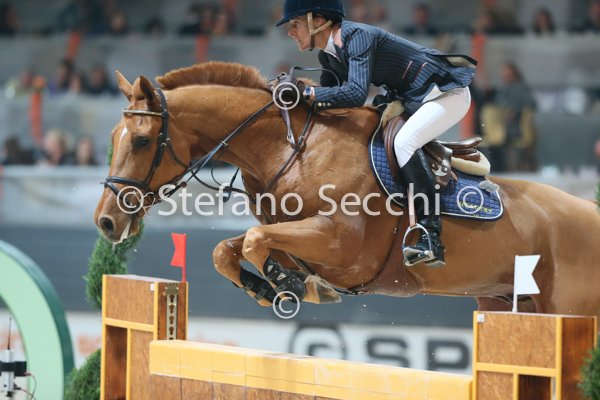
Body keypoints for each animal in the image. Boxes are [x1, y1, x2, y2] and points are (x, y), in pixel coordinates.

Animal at [94, 61, 600, 323]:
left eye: (142, 141)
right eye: (114, 138)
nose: (106, 221)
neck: (289, 147)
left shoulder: (342, 245)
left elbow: (256, 243)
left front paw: (292, 286)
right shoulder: (295, 232)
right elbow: (228, 249)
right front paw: (275, 286)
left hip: (568, 308)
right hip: (504, 300)